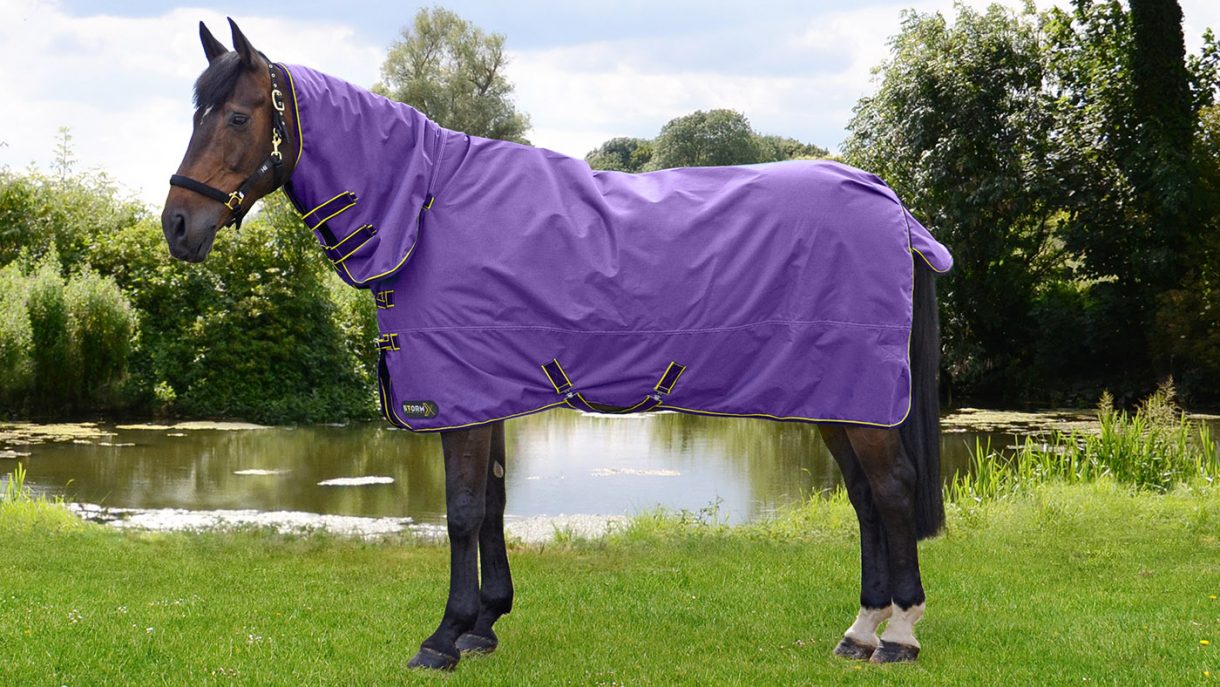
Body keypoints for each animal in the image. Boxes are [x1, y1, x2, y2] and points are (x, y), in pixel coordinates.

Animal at [161, 19, 952, 671]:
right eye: (195, 115)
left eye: (237, 116)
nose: (177, 226)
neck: (424, 210)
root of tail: (890, 200)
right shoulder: (484, 394)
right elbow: (494, 504)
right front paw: (483, 625)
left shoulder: (457, 396)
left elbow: (460, 512)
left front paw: (442, 638)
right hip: (834, 397)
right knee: (864, 497)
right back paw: (860, 630)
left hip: (858, 397)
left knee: (892, 489)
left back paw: (900, 635)